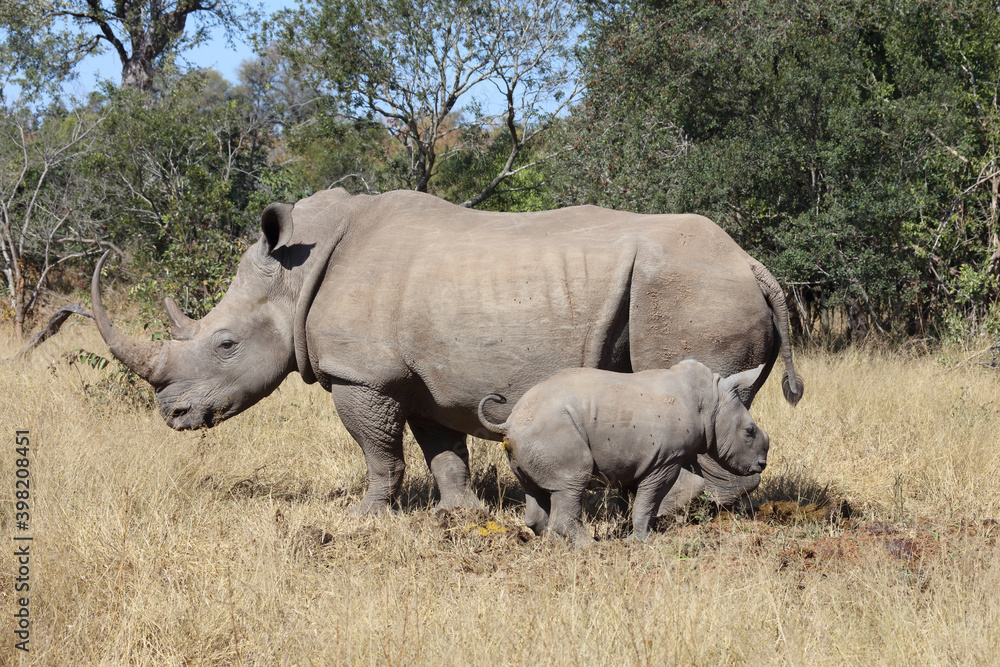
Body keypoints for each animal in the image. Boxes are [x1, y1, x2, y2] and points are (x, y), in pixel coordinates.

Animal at [91, 188, 802, 516]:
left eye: (226, 344)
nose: (172, 416)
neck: (294, 275)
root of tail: (753, 263)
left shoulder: (362, 374)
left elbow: (378, 451)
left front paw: (365, 515)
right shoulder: (423, 376)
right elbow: (442, 449)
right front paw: (458, 514)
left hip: (690, 291)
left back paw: (674, 510)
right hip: (708, 289)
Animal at [476, 361, 770, 545]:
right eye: (749, 432)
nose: (762, 464)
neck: (713, 401)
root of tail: (508, 423)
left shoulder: (652, 457)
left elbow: (676, 488)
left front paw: (646, 527)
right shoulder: (665, 459)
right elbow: (648, 499)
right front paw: (639, 540)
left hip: (529, 437)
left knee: (535, 488)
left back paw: (554, 545)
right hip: (550, 429)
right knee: (571, 483)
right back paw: (591, 547)